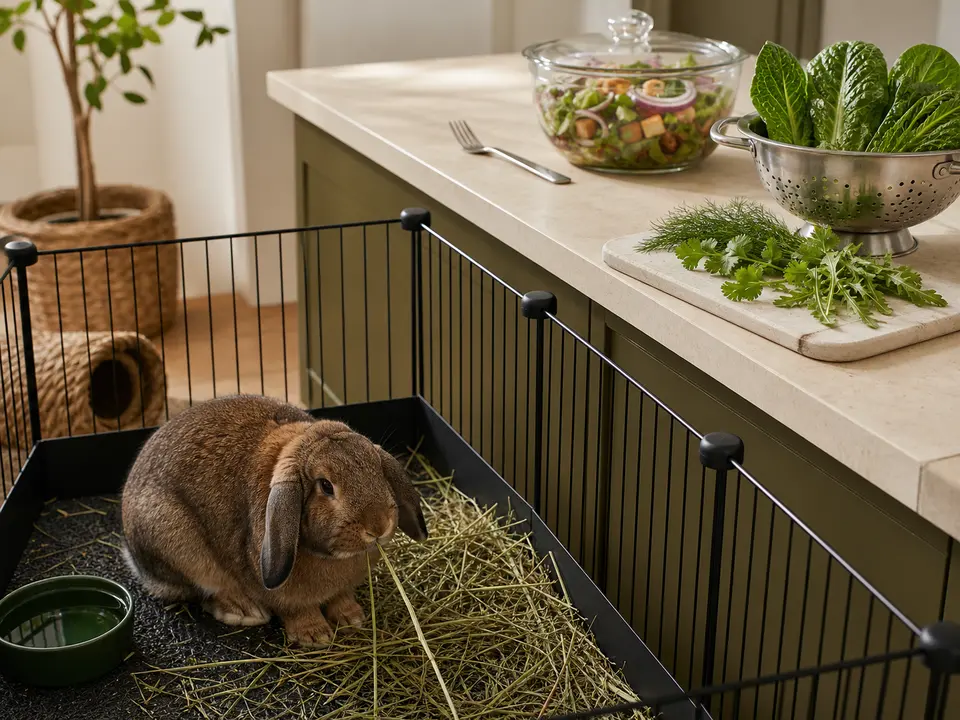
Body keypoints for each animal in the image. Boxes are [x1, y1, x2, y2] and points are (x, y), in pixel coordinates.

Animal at [121, 394, 428, 646]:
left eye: (378, 470)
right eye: (326, 486)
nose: (378, 526)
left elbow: (341, 597)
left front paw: (353, 618)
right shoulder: (280, 589)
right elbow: (294, 609)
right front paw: (314, 636)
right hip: (181, 548)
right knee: (204, 590)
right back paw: (243, 610)